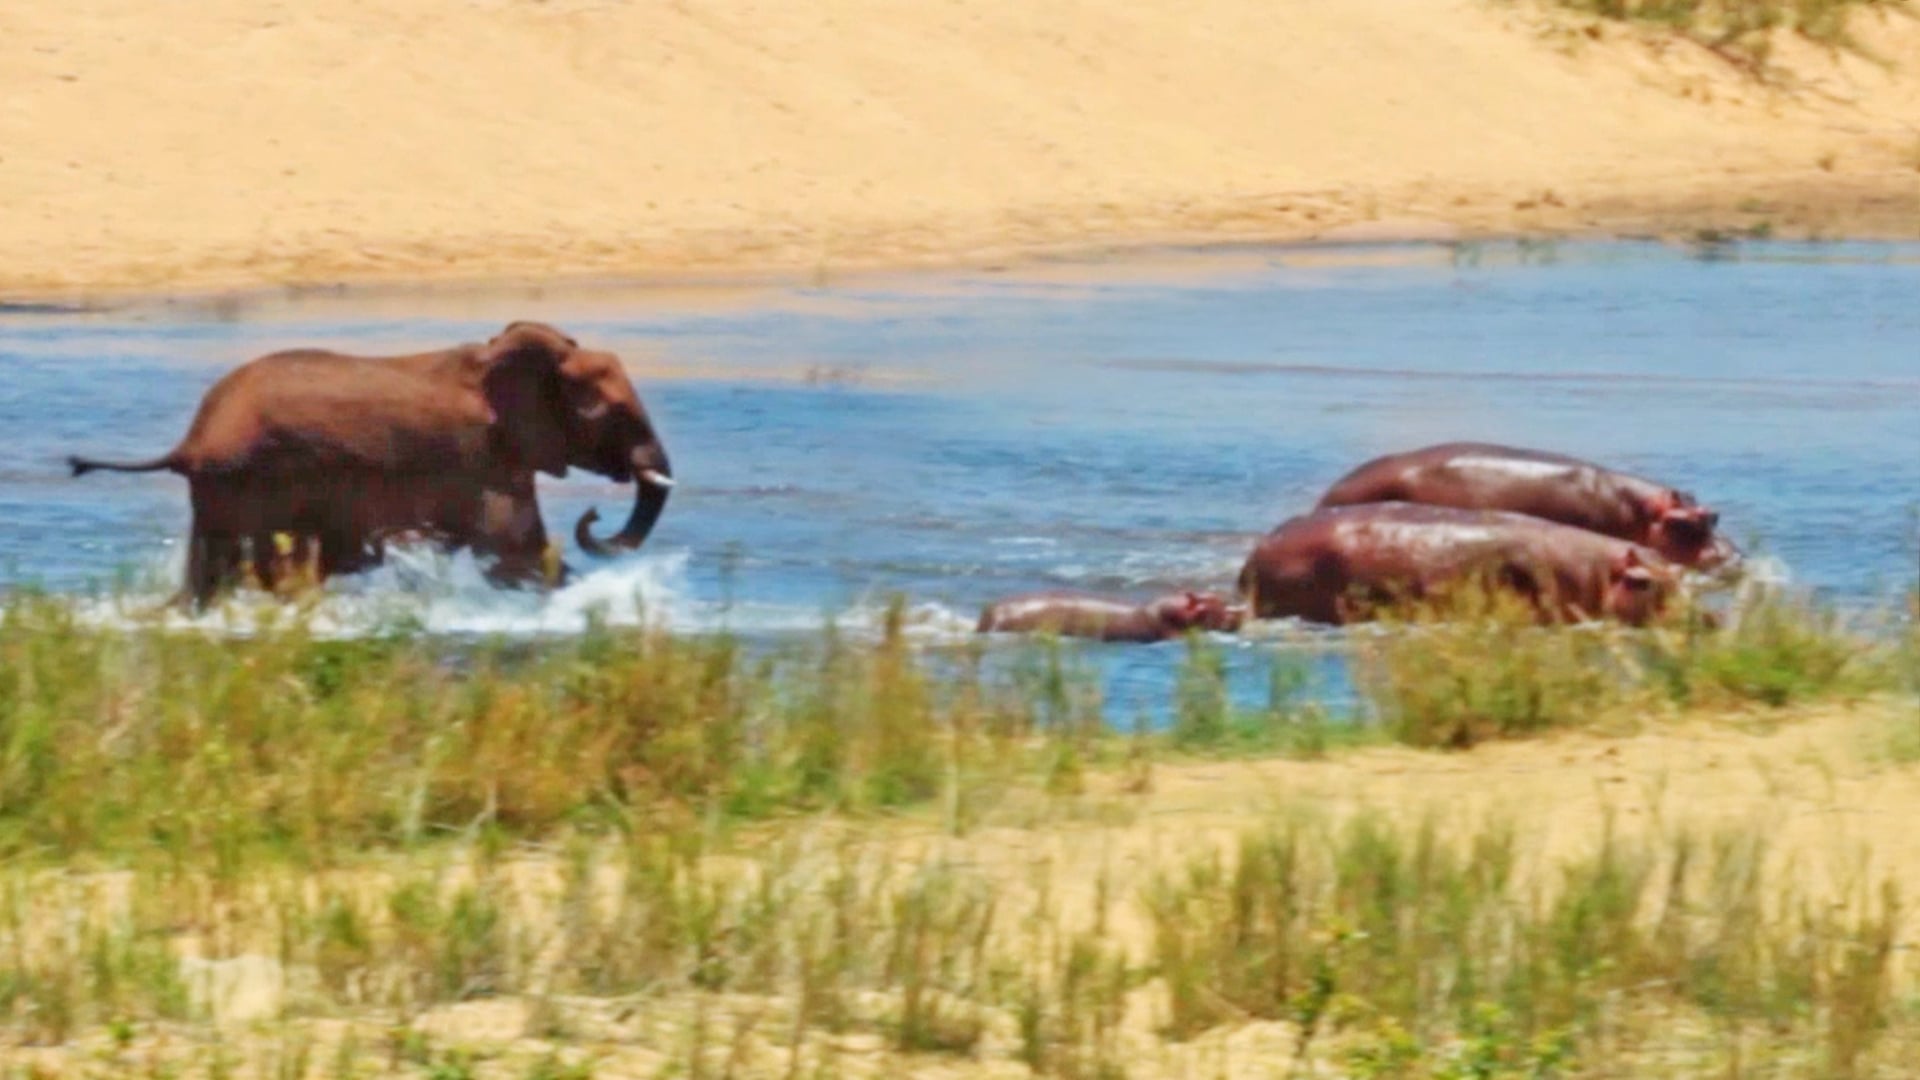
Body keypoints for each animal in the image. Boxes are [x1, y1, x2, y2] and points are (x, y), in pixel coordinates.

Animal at [67, 321, 673, 609]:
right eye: (610, 411)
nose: (594, 515)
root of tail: (191, 440)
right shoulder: (480, 461)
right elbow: (518, 554)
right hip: (252, 483)